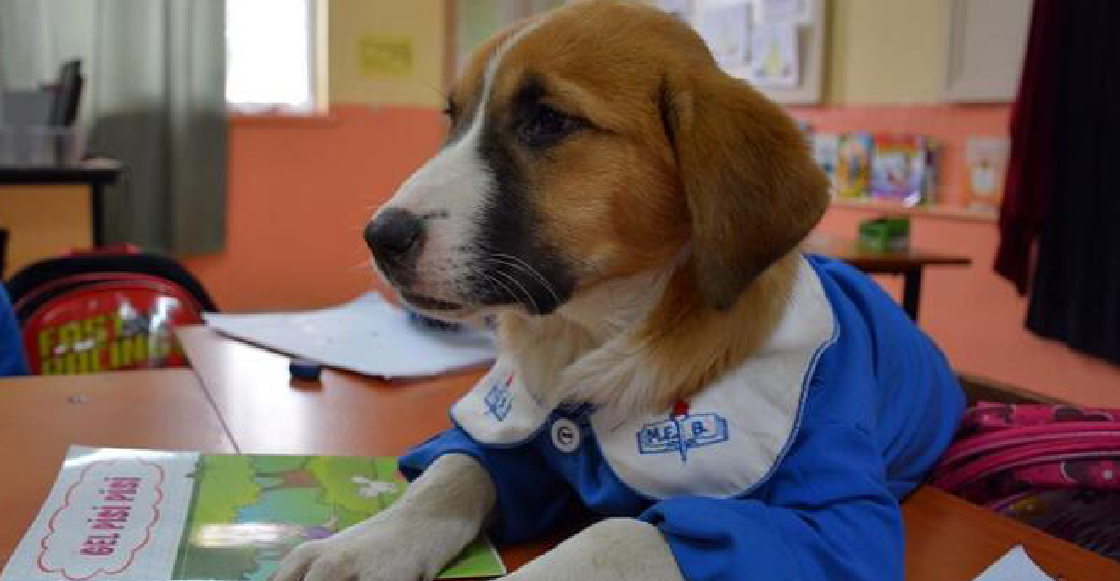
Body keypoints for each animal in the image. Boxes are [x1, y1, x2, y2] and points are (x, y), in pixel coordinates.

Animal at [273, 1, 963, 581]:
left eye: (548, 121)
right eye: (453, 118)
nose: (378, 237)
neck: (597, 331)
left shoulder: (832, 519)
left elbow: (621, 533)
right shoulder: (513, 439)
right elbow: (451, 471)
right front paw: (360, 545)